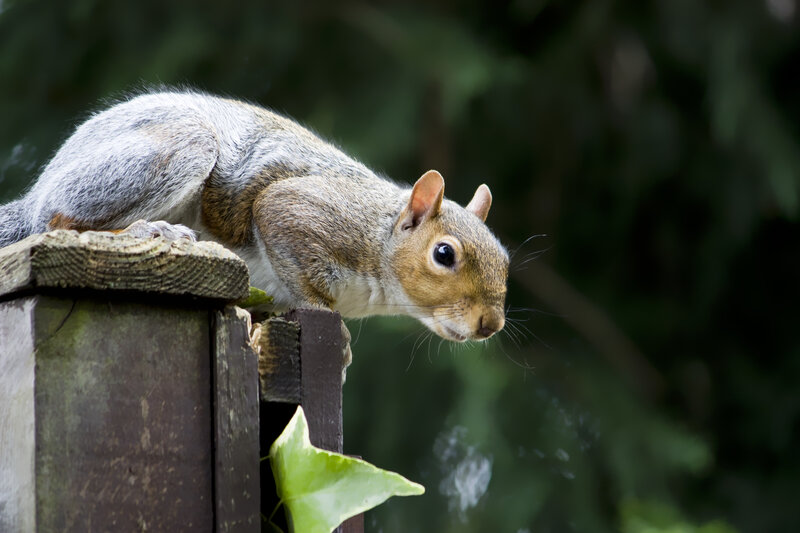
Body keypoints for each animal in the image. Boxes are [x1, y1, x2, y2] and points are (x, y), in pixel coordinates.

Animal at [0, 90, 508, 342]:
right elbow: (297, 264)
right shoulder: (300, 212)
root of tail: (39, 188)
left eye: (504, 259)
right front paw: (339, 341)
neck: (378, 234)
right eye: (444, 254)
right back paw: (148, 228)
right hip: (172, 151)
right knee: (58, 220)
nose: (491, 325)